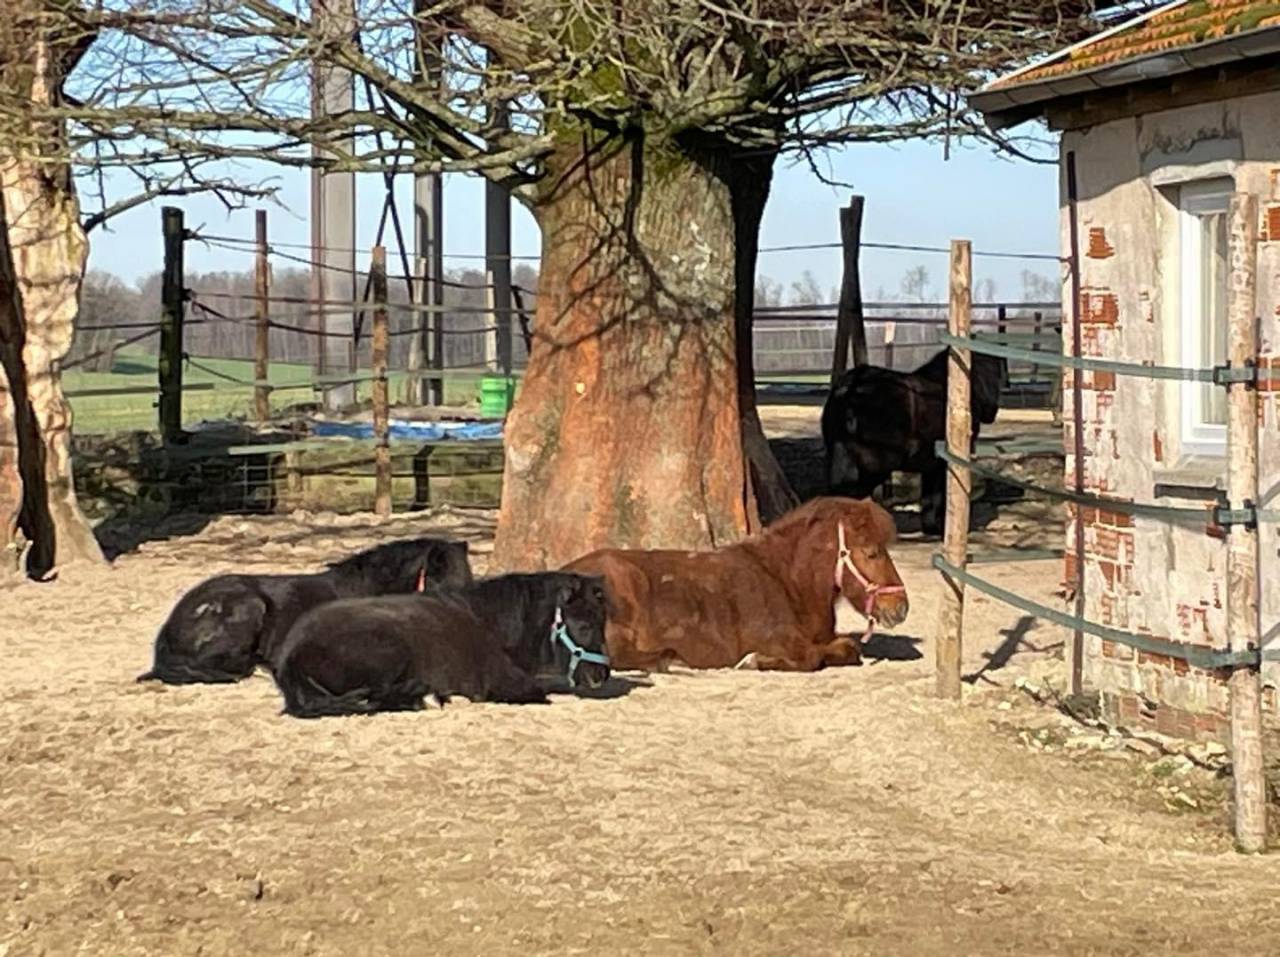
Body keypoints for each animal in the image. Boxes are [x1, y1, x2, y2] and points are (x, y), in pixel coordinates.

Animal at [271, 572, 610, 718]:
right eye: (584, 624)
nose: (602, 675)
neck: (488, 622)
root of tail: (291, 654)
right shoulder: (508, 684)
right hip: (390, 651)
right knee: (379, 697)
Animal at [562, 497, 907, 673]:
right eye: (872, 552)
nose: (901, 607)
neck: (786, 583)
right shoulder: (780, 640)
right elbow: (812, 658)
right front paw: (754, 660)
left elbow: (849, 648)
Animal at [822, 347, 1007, 536]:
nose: (994, 410)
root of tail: (849, 389)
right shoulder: (945, 463)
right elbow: (940, 496)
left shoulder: (931, 464)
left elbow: (929, 498)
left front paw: (931, 528)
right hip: (877, 464)